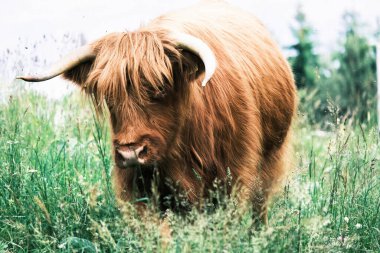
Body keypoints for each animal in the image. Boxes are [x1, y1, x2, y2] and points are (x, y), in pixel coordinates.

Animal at [17, 0, 296, 221]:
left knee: (260, 208)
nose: (130, 153)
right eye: (109, 96)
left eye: (161, 87)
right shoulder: (137, 186)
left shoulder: (234, 174)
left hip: (270, 159)